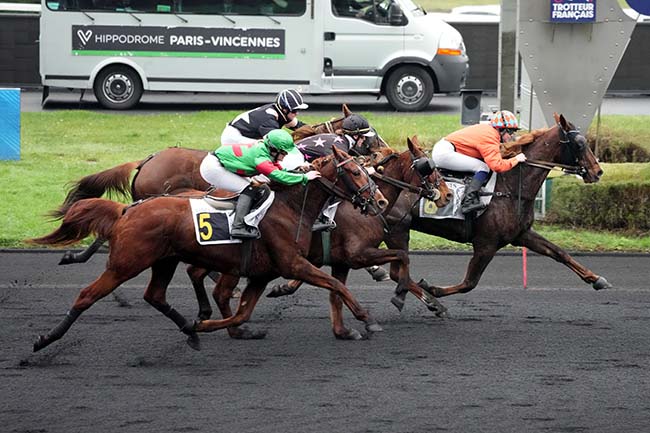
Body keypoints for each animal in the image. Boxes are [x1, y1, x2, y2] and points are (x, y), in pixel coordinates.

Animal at [30, 148, 388, 352]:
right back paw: (45, 340)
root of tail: (129, 210)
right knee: (87, 296)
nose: (380, 201)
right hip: (126, 263)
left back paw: (191, 330)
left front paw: (221, 327)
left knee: (156, 295)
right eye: (354, 171)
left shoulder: (262, 273)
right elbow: (337, 284)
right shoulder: (292, 263)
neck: (290, 208)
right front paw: (366, 320)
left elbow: (243, 311)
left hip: (164, 261)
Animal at [380, 113, 608, 306]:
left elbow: (559, 252)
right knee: (398, 272)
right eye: (580, 143)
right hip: (398, 230)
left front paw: (596, 278)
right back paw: (427, 300)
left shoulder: (522, 234)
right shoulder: (486, 244)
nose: (598, 172)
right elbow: (469, 283)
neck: (510, 188)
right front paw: (432, 289)